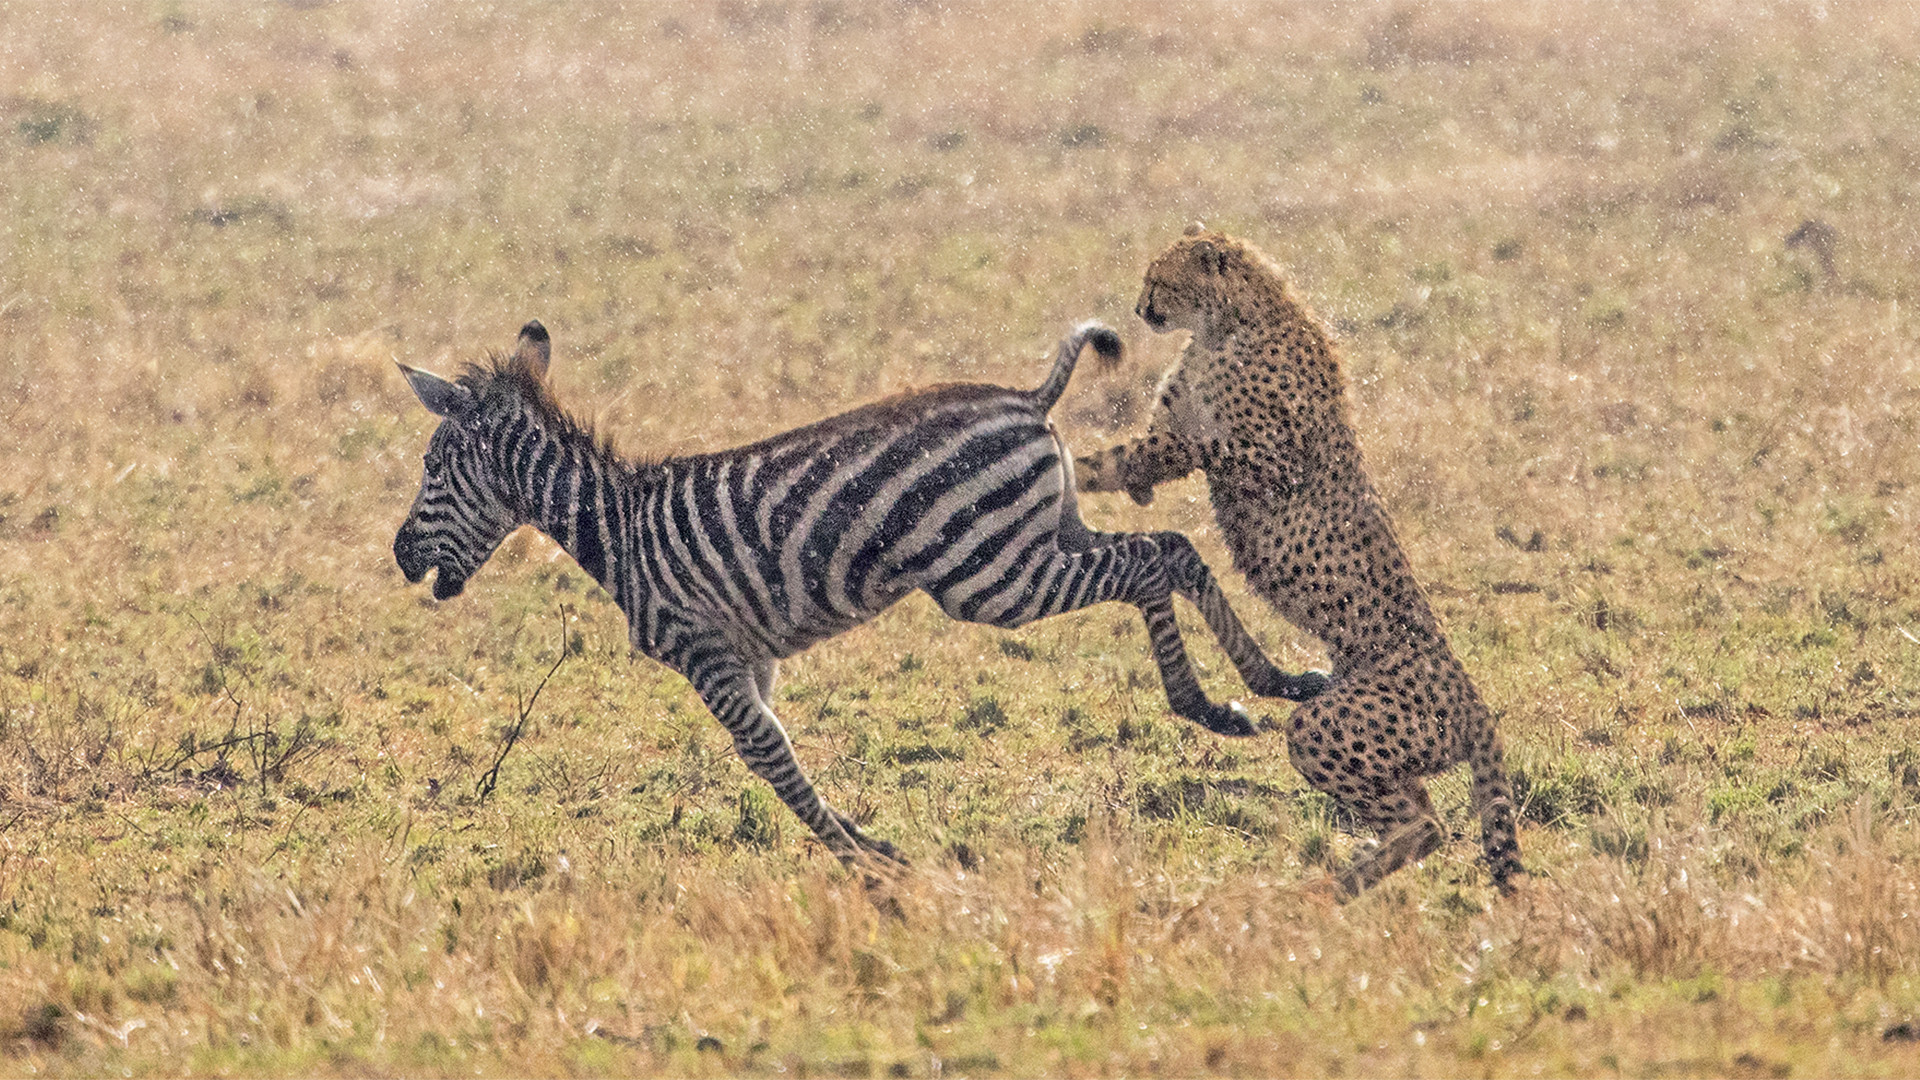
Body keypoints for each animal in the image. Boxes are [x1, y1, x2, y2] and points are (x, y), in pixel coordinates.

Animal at [389, 319, 1320, 864]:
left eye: (432, 466)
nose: (398, 557)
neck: (619, 532)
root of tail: (1026, 397)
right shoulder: (750, 656)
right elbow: (776, 750)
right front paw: (864, 843)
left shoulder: (704, 650)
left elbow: (769, 757)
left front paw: (864, 861)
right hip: (1044, 531)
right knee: (1171, 550)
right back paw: (1265, 684)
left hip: (993, 572)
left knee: (1146, 565)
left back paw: (1207, 701)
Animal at [1082, 224, 1528, 891]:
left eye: (1158, 281)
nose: (1140, 310)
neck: (1227, 324)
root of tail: (1475, 704)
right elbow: (1119, 457)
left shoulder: (1273, 466)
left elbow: (1202, 445)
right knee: (1420, 815)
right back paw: (1350, 874)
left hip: (1325, 727)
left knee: (1426, 825)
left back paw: (1332, 887)